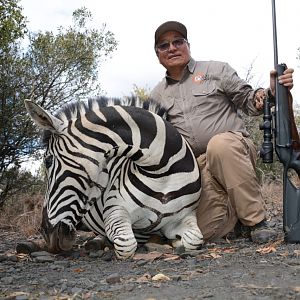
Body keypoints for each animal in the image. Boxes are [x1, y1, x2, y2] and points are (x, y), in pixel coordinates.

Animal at [25, 97, 204, 258]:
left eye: (48, 161)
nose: (47, 233)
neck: (161, 174)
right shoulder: (115, 211)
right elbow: (126, 244)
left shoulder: (185, 216)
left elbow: (194, 239)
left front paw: (177, 242)